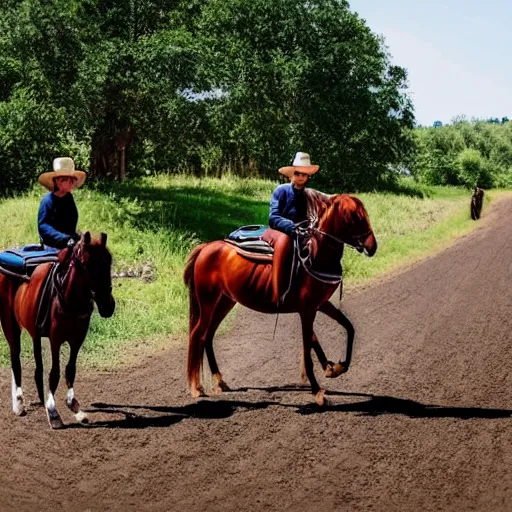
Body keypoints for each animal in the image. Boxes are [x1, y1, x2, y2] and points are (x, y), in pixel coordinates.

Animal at [0, 232, 115, 428]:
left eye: (109, 262)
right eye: (88, 265)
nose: (108, 306)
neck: (70, 299)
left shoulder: (78, 339)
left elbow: (70, 370)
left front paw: (74, 407)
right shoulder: (55, 338)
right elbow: (55, 373)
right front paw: (53, 413)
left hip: (35, 333)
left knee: (38, 366)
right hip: (10, 325)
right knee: (15, 359)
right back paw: (19, 403)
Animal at [184, 190, 376, 406]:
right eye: (354, 217)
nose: (373, 246)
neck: (315, 255)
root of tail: (205, 248)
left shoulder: (320, 305)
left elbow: (347, 328)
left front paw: (336, 367)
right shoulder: (307, 310)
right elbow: (308, 349)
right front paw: (318, 391)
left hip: (226, 300)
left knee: (208, 335)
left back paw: (220, 381)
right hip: (207, 300)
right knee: (198, 335)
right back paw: (196, 387)